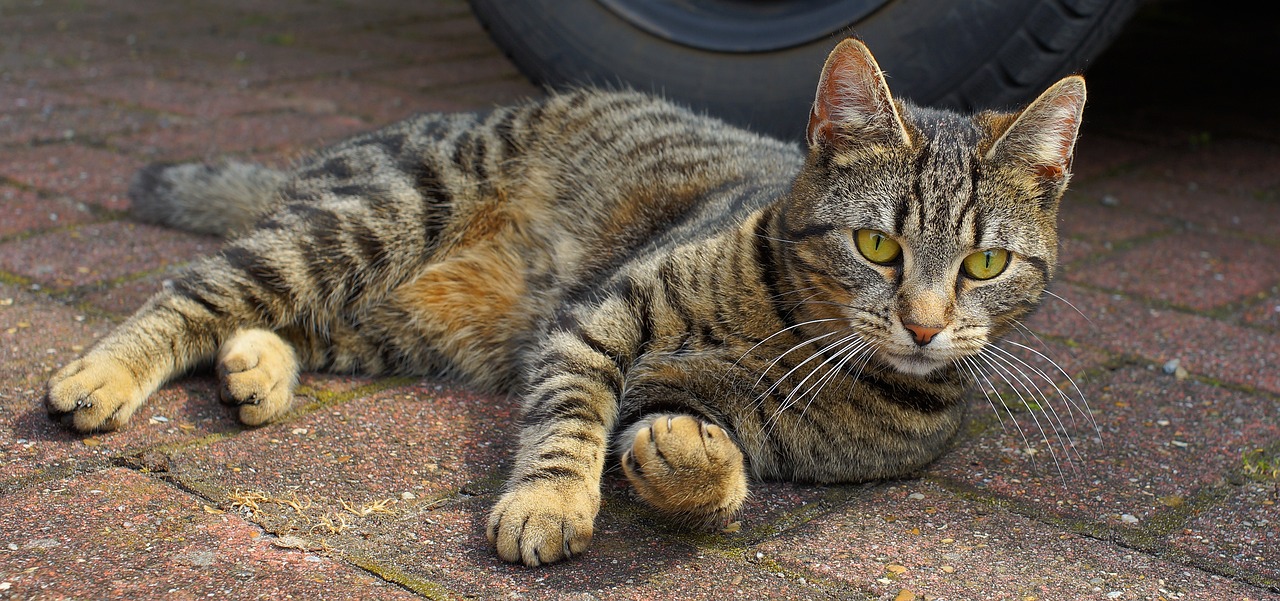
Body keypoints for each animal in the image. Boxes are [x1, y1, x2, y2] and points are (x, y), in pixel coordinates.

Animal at [47, 39, 1090, 565]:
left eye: (986, 264)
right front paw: (550, 497)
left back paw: (254, 367)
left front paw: (688, 461)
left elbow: (711, 460)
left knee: (280, 321)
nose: (924, 322)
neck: (793, 337)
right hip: (367, 220)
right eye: (878, 245)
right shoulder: (599, 318)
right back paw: (101, 374)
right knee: (195, 291)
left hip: (397, 317)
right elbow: (571, 415)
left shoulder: (737, 417)